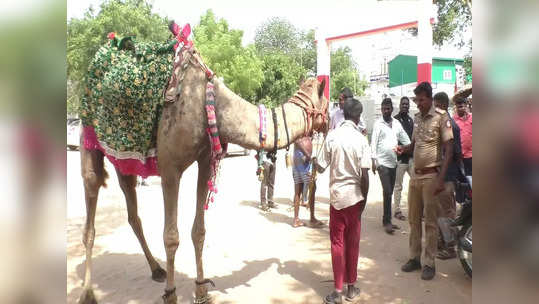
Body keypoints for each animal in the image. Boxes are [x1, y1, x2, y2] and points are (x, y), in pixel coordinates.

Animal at [76, 22, 330, 304]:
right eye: (327, 103)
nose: (330, 121)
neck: (213, 104)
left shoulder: (206, 161)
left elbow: (199, 231)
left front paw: (201, 289)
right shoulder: (170, 168)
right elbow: (171, 236)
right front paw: (171, 294)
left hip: (126, 160)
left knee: (132, 212)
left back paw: (156, 270)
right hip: (89, 137)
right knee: (90, 213)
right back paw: (87, 293)